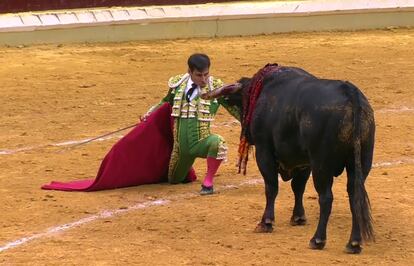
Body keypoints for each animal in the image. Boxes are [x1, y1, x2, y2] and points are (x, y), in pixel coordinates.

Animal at [202, 66, 376, 254]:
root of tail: (350, 93)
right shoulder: (304, 162)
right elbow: (298, 187)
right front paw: (298, 217)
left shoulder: (264, 151)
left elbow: (271, 187)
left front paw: (266, 222)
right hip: (360, 163)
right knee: (355, 197)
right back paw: (354, 243)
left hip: (321, 164)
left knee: (326, 198)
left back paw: (318, 239)